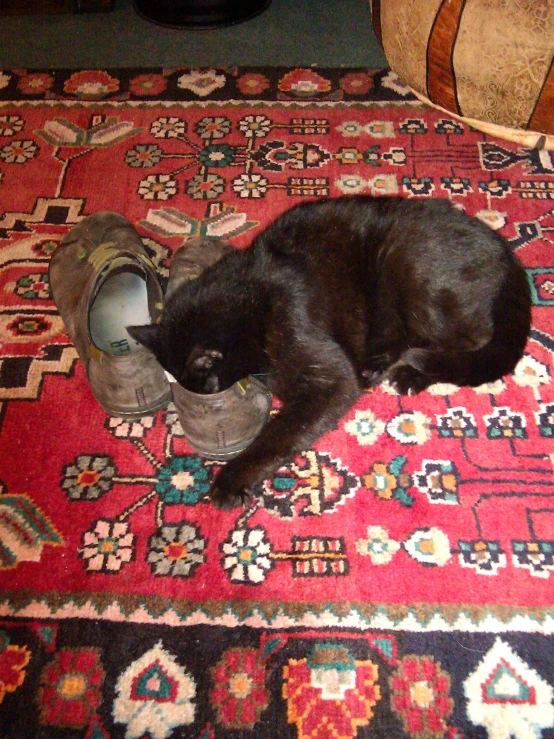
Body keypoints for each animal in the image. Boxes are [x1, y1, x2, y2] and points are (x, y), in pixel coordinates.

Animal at [127, 195, 528, 508]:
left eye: (208, 386)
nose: (204, 394)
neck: (251, 297)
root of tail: (510, 258)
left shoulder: (329, 379)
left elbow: (277, 434)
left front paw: (231, 480)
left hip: (408, 261)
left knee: (468, 342)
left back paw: (408, 373)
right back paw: (378, 365)